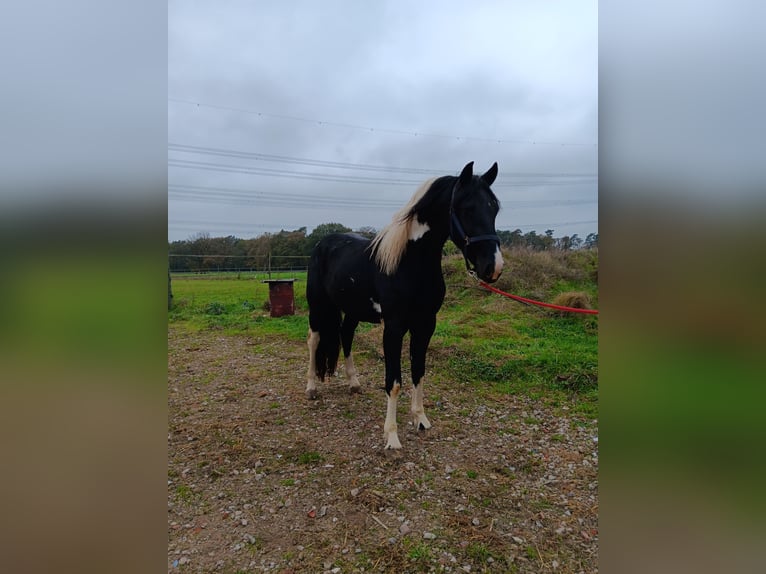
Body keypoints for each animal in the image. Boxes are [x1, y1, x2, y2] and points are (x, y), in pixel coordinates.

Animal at [306, 161, 504, 450]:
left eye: (495, 208)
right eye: (467, 208)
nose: (493, 267)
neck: (408, 263)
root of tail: (323, 242)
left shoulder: (426, 324)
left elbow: (418, 372)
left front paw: (420, 420)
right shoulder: (394, 327)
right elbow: (394, 381)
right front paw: (391, 436)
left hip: (353, 309)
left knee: (346, 335)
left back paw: (354, 383)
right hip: (317, 304)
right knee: (314, 339)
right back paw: (311, 388)